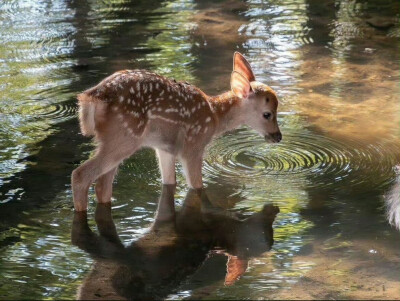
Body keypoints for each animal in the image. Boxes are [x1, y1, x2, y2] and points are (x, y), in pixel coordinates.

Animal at [74, 51, 282, 210]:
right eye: (267, 114)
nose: (278, 136)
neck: (214, 116)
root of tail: (92, 97)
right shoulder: (193, 146)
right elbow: (197, 187)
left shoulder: (164, 149)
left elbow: (169, 183)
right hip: (124, 136)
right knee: (81, 175)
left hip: (115, 140)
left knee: (102, 186)